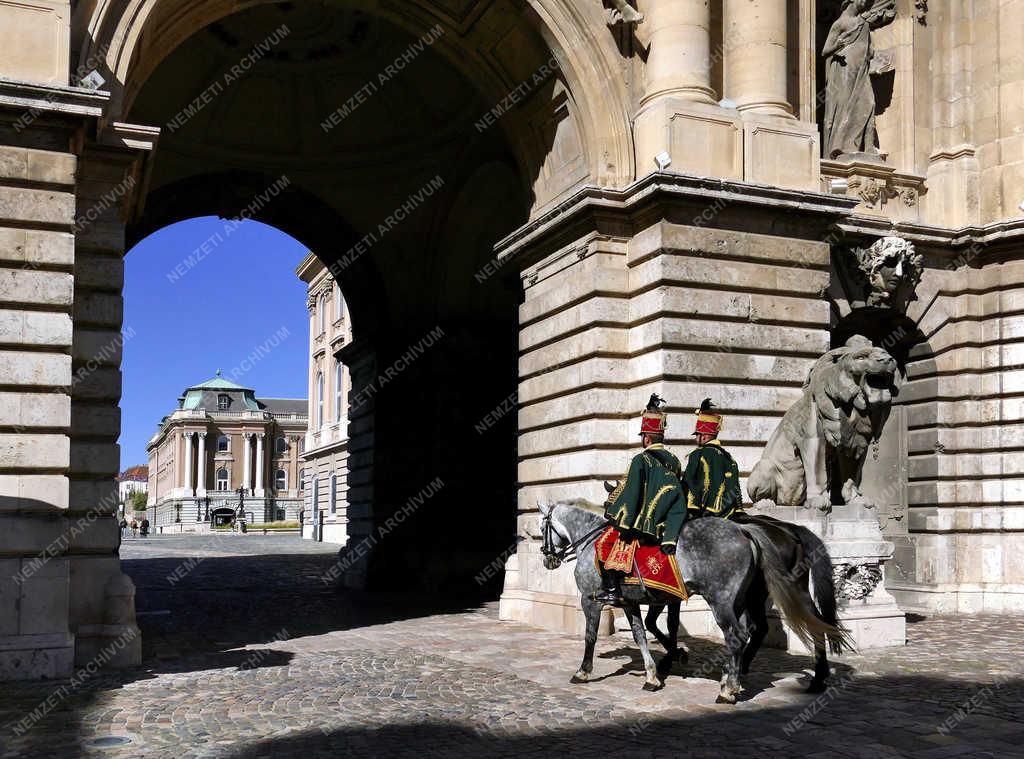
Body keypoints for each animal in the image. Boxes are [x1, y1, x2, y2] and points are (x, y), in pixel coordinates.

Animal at [540, 499, 851, 700]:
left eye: (542, 527)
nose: (547, 558)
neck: (592, 541)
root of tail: (747, 530)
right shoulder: (631, 603)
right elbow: (642, 635)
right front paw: (653, 675)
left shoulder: (591, 600)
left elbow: (591, 636)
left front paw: (583, 672)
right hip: (751, 597)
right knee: (798, 625)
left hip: (724, 601)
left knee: (739, 635)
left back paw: (729, 688)